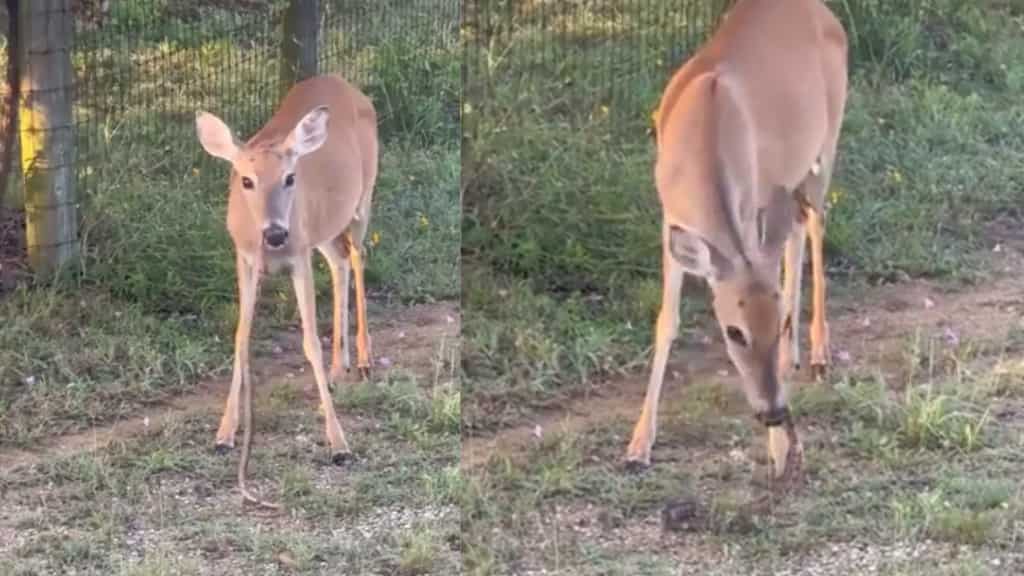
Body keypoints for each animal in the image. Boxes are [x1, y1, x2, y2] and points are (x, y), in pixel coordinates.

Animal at [195, 74, 378, 507]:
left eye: (290, 178)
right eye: (246, 180)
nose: (276, 233)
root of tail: (344, 82)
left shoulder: (298, 255)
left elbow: (309, 340)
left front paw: (340, 445)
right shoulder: (245, 258)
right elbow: (241, 336)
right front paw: (224, 435)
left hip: (362, 199)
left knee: (358, 257)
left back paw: (363, 360)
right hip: (324, 229)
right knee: (340, 261)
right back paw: (338, 368)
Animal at [626, 0, 848, 482]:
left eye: (777, 323)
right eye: (733, 332)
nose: (773, 412)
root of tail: (822, 10)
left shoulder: (754, 202)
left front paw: (781, 452)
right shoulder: (671, 219)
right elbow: (666, 321)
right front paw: (638, 444)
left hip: (828, 138)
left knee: (816, 222)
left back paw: (818, 353)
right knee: (797, 232)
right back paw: (794, 357)